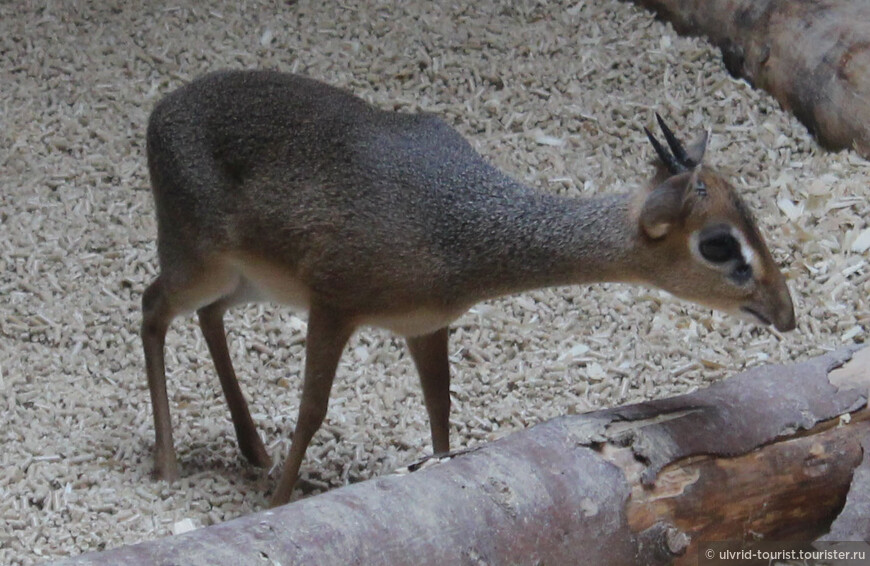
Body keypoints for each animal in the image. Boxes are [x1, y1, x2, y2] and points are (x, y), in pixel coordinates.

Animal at [141, 69, 796, 508]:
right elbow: (311, 411)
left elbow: (440, 406)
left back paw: (252, 449)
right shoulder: (332, 307)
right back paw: (169, 465)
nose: (786, 313)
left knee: (207, 318)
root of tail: (161, 110)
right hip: (199, 263)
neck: (457, 228)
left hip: (247, 282)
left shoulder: (426, 325)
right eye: (719, 245)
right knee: (152, 308)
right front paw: (279, 504)